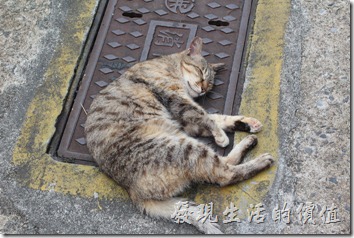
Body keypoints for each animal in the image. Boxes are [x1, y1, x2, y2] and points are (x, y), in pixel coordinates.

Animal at [85, 37, 274, 234]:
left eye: (210, 84)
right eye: (200, 72)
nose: (203, 88)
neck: (170, 65)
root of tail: (133, 191)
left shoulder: (187, 121)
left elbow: (216, 117)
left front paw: (246, 123)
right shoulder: (177, 98)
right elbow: (205, 116)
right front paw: (221, 136)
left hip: (185, 142)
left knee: (225, 164)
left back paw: (249, 141)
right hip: (186, 147)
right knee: (225, 174)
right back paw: (261, 160)